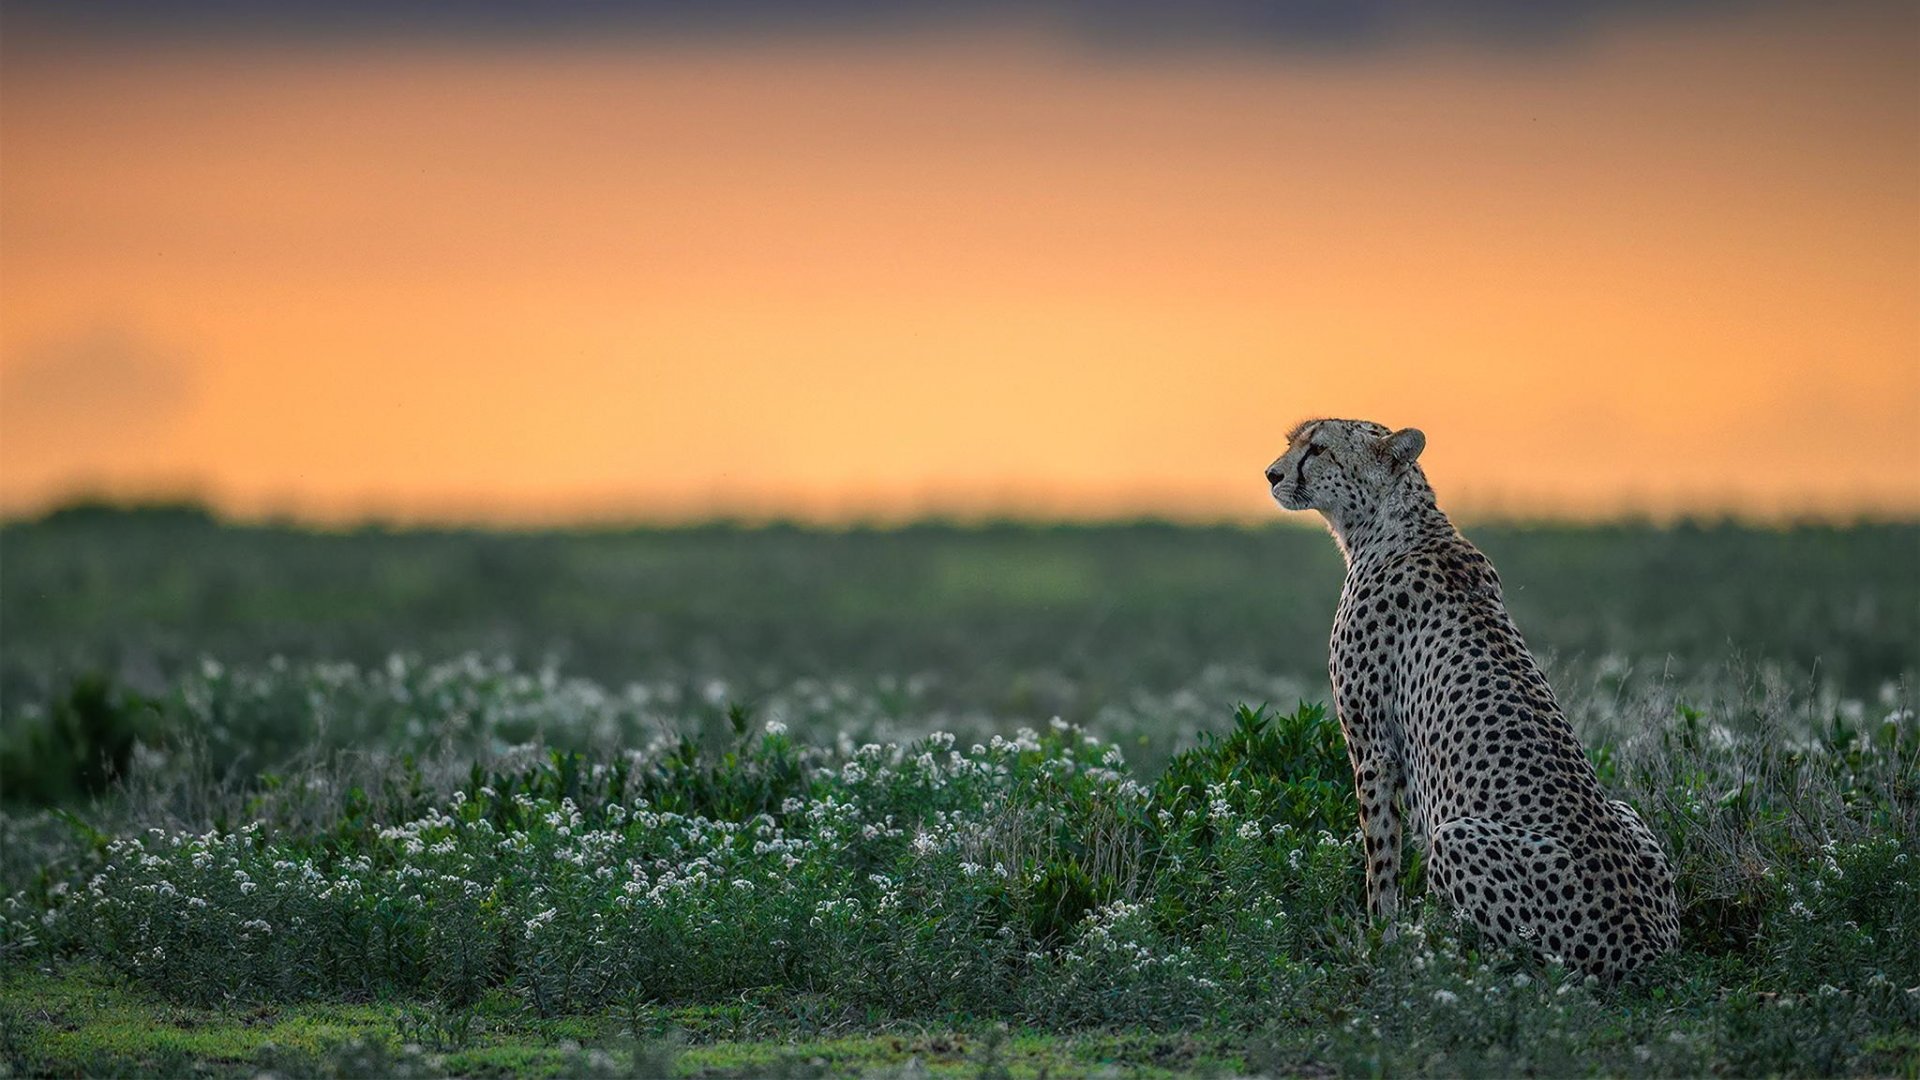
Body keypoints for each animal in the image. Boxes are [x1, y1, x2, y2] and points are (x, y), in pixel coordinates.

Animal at [1267, 417, 1674, 972]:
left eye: (1319, 448)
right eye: (1294, 441)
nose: (1272, 474)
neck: (1396, 524)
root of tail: (1649, 948)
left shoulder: (1372, 749)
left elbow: (1381, 858)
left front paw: (1379, 942)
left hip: (1456, 836)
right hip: (1627, 812)